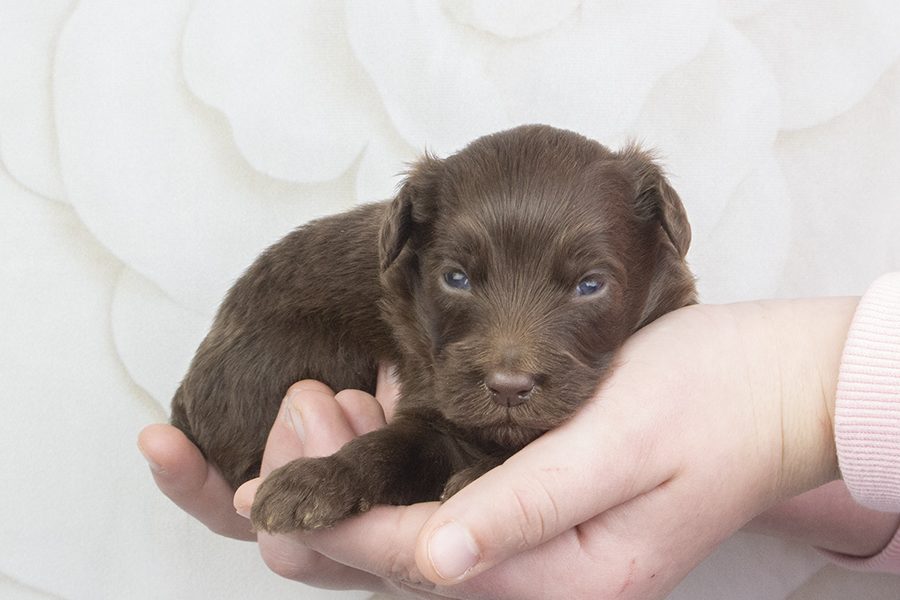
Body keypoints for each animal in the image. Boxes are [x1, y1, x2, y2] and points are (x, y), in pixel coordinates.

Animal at [172, 124, 700, 532]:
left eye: (589, 285)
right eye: (456, 279)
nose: (508, 388)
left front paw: (482, 473)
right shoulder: (433, 407)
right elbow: (384, 447)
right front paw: (316, 480)